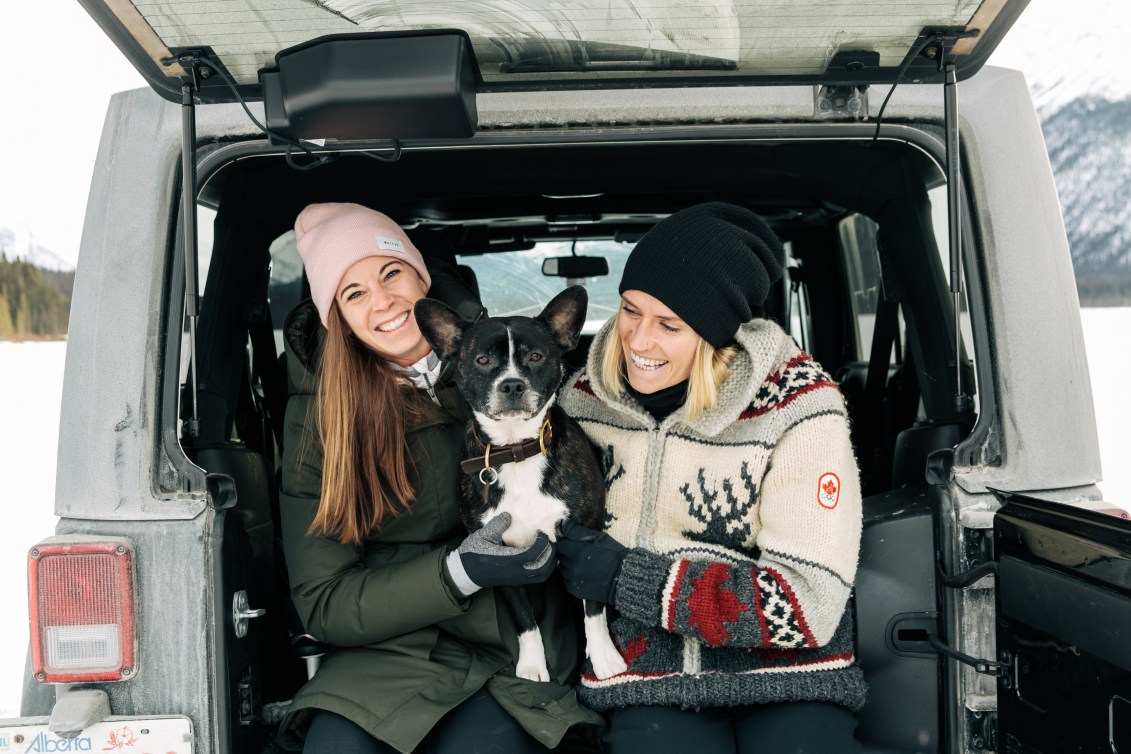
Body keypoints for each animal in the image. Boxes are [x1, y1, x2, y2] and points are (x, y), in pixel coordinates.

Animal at [416, 286, 628, 682]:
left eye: (536, 357)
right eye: (482, 360)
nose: (512, 384)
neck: (516, 450)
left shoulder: (586, 536)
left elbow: (592, 603)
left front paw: (604, 656)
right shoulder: (499, 559)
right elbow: (523, 616)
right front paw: (532, 664)